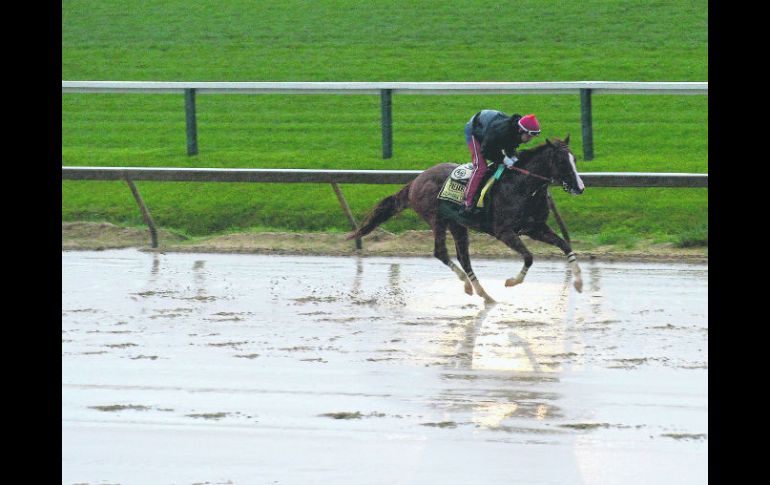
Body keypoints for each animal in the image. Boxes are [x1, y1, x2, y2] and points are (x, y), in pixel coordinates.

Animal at [346, 136, 584, 302]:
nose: (580, 187)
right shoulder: (504, 232)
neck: (523, 186)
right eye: (562, 161)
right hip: (437, 219)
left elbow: (565, 245)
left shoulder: (536, 228)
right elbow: (529, 257)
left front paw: (579, 282)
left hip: (457, 225)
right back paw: (469, 285)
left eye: (574, 159)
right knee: (441, 252)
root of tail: (416, 180)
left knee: (464, 257)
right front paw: (511, 281)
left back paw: (483, 294)